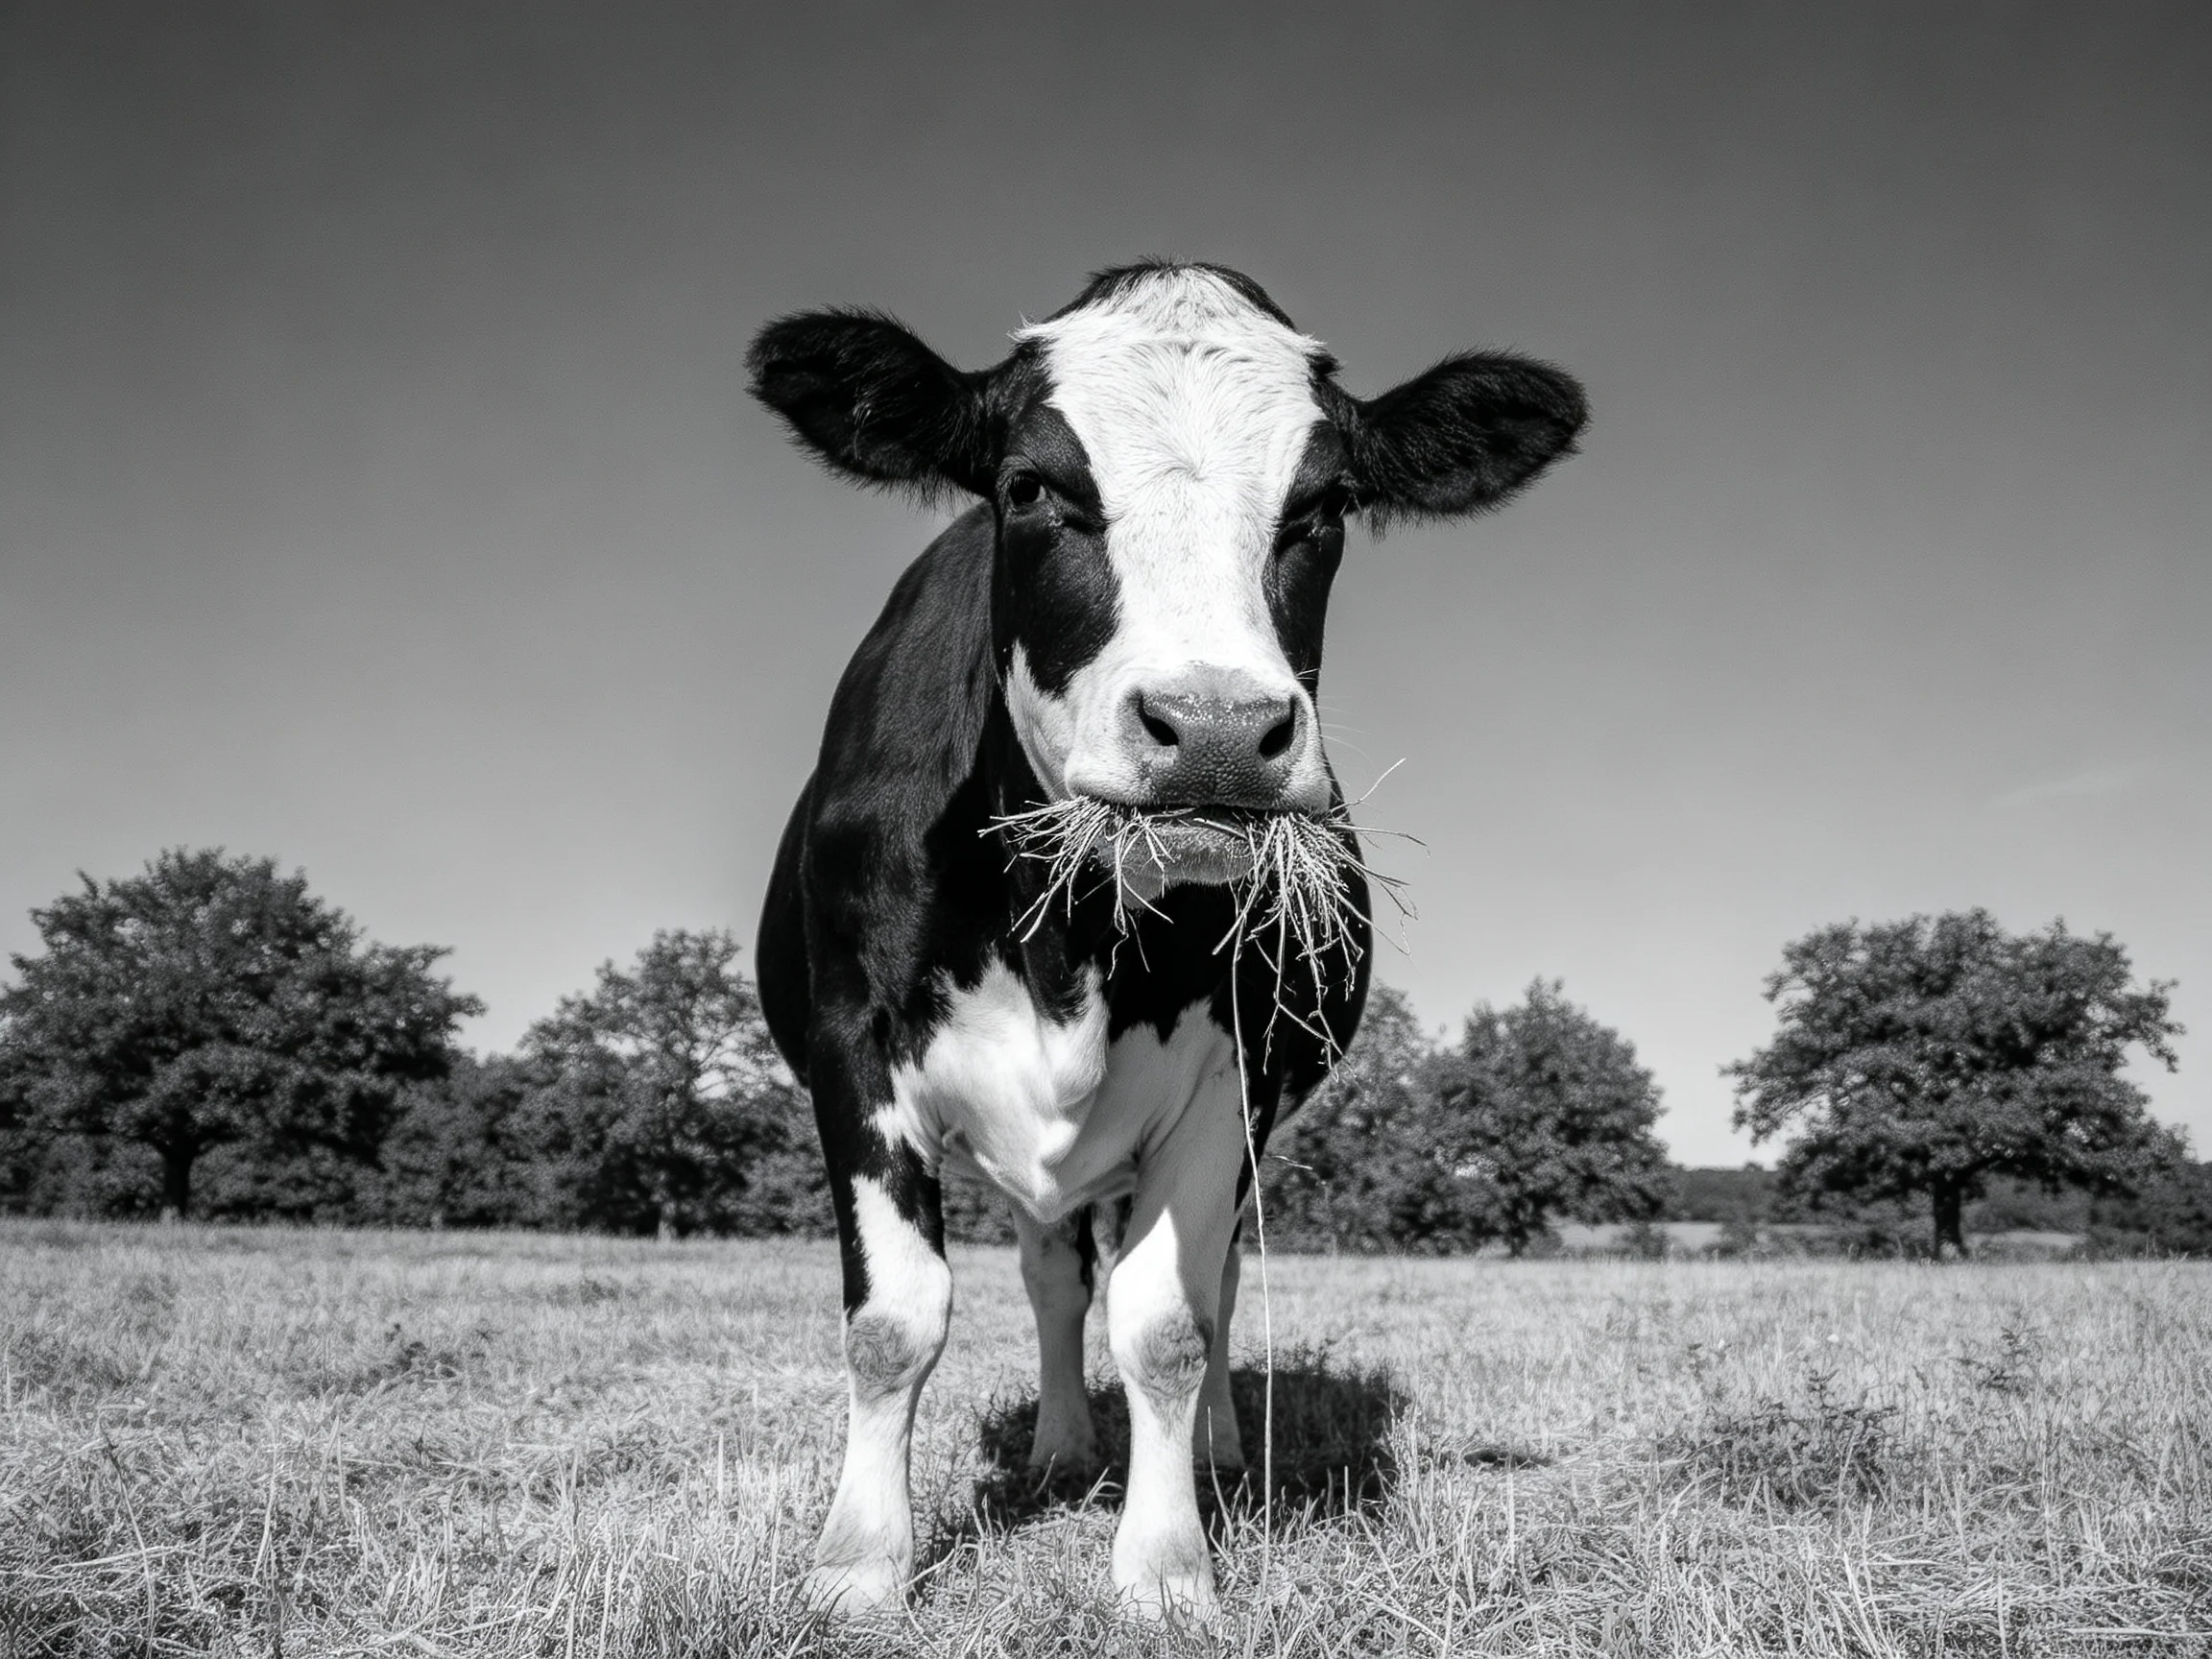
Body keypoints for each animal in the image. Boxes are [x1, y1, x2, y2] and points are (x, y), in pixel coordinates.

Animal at [747, 261, 1585, 1619]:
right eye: (1029, 486)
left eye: (1325, 503)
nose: (1215, 730)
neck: (1066, 938)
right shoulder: (849, 1045)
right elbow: (895, 1320)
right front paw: (858, 1562)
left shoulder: (1231, 1071)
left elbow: (1170, 1324)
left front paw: (1165, 1566)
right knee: (1052, 1271)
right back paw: (1059, 1450)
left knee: (1213, 1282)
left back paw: (1217, 1457)